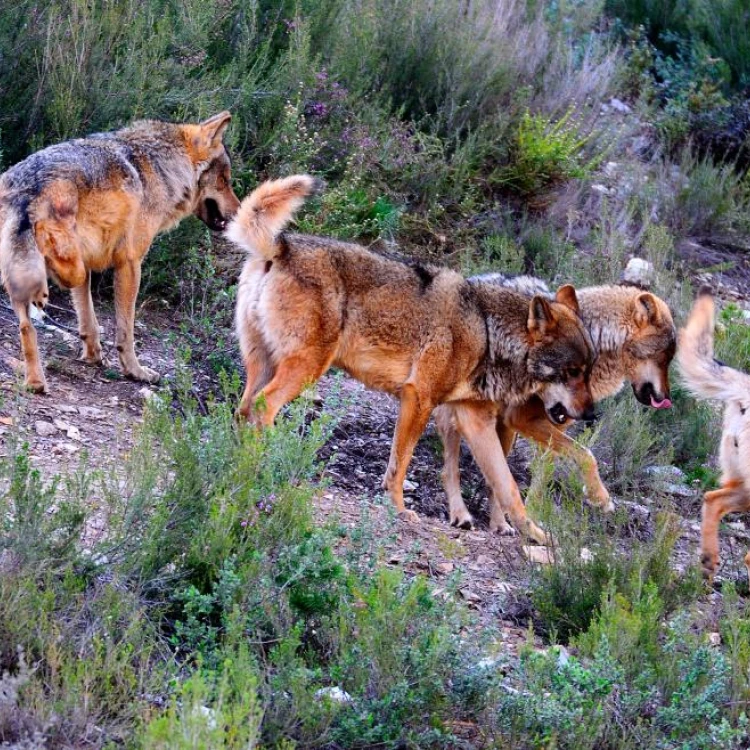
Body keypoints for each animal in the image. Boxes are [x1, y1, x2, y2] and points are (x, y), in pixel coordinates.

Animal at [0, 113, 241, 394]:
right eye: (224, 180)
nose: (240, 213)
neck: (164, 167)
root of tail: (27, 185)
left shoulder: (90, 264)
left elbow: (88, 321)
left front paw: (92, 356)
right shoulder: (130, 263)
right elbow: (126, 331)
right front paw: (135, 371)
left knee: (26, 326)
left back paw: (35, 381)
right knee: (58, 274)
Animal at [226, 175, 596, 548]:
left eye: (588, 371)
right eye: (572, 372)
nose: (591, 415)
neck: (486, 331)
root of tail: (280, 246)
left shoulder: (474, 419)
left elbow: (508, 487)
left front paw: (534, 533)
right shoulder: (419, 397)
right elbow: (400, 463)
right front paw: (399, 510)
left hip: (265, 367)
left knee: (243, 411)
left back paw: (241, 459)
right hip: (306, 369)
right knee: (263, 407)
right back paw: (271, 458)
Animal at [434, 276, 676, 536]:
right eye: (664, 357)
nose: (666, 397)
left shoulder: (555, 426)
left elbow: (543, 475)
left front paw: (536, 516)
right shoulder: (523, 419)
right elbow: (587, 455)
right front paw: (600, 498)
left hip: (502, 428)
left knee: (493, 476)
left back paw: (500, 525)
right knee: (449, 469)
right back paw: (461, 516)